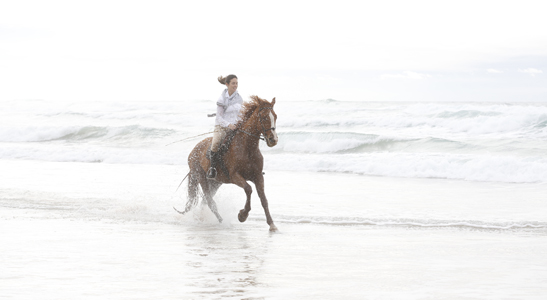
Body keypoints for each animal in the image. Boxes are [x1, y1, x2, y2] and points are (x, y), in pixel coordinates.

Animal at [176, 95, 278, 231]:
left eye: (275, 116)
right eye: (264, 117)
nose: (273, 140)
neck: (247, 148)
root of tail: (193, 151)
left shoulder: (258, 176)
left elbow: (263, 199)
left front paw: (272, 224)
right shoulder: (235, 176)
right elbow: (248, 189)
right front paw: (242, 215)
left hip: (215, 183)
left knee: (205, 201)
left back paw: (203, 218)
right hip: (201, 177)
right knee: (209, 201)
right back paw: (221, 221)